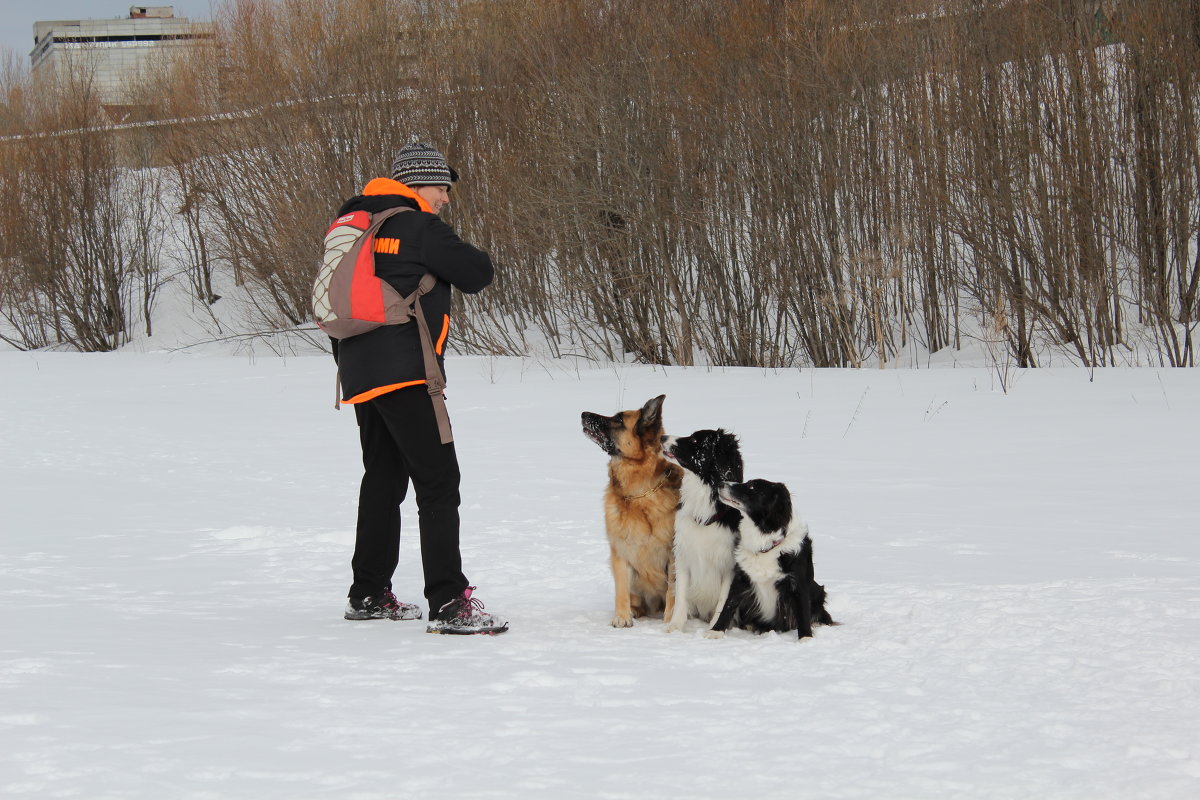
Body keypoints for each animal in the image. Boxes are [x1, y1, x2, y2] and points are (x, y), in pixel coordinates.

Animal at [583, 398, 681, 628]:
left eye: (619, 420)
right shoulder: (620, 552)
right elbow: (621, 589)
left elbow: (672, 592)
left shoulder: (673, 554)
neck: (640, 493)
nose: (582, 414)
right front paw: (621, 616)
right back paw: (634, 610)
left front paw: (669, 620)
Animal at [657, 429, 739, 633]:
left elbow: (723, 601)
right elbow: (680, 596)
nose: (662, 437)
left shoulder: (729, 565)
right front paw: (675, 626)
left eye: (695, 440)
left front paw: (714, 629)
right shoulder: (683, 554)